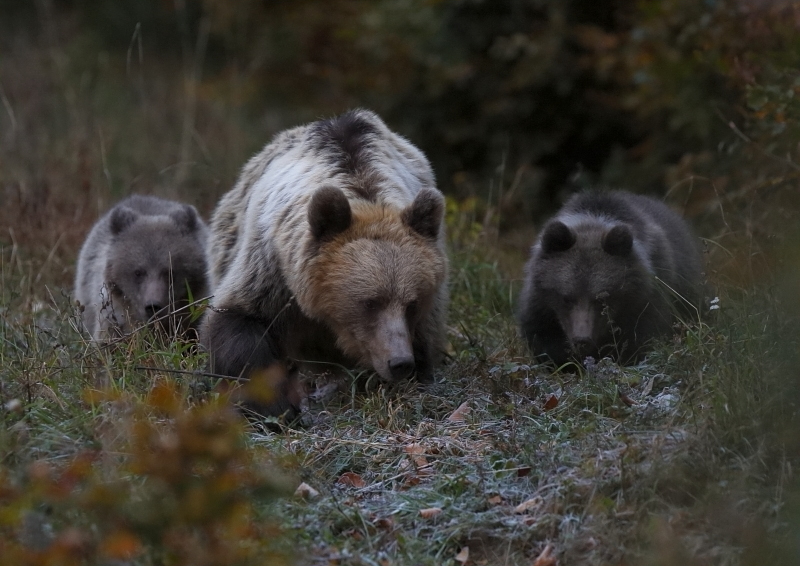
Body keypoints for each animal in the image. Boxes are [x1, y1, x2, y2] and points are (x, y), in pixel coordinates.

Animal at [202, 108, 450, 420]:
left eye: (412, 303)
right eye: (370, 302)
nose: (399, 362)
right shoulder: (272, 267)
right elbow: (240, 319)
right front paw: (274, 407)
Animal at [516, 191, 704, 366]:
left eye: (602, 298)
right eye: (566, 298)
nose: (582, 339)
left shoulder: (647, 298)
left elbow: (643, 336)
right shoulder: (541, 305)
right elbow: (543, 336)